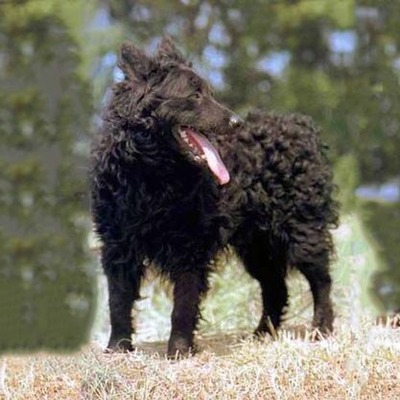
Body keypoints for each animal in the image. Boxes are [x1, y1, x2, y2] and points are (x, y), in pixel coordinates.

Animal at [89, 38, 340, 356]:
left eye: (211, 93)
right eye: (194, 95)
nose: (235, 121)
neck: (151, 174)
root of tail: (303, 127)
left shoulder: (189, 247)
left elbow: (183, 305)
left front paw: (179, 350)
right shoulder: (117, 246)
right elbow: (118, 302)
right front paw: (118, 348)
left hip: (302, 232)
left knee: (322, 281)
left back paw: (321, 329)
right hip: (257, 246)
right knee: (276, 289)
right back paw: (261, 335)